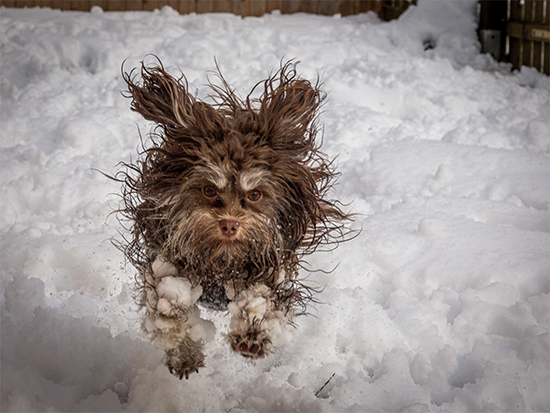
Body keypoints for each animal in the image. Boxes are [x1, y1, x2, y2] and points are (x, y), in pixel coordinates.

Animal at [117, 59, 354, 378]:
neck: (221, 262)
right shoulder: (164, 261)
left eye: (254, 194)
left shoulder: (270, 270)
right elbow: (170, 307)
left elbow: (261, 301)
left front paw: (252, 336)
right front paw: (184, 352)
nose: (229, 224)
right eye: (208, 190)